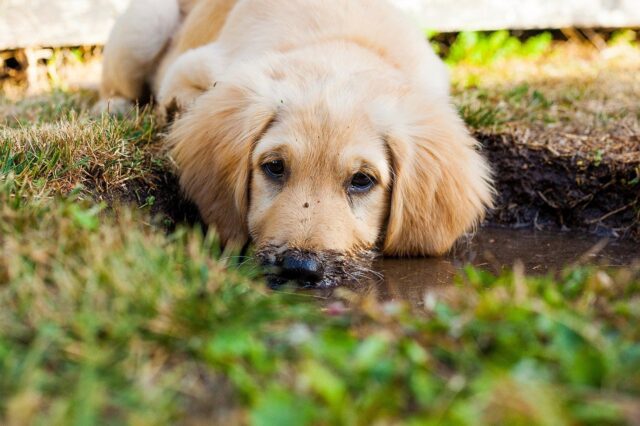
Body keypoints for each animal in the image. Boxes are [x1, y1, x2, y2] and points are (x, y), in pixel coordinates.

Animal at [96, 0, 496, 288]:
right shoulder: (190, 69)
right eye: (274, 167)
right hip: (146, 23)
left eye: (362, 180)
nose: (299, 268)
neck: (339, 45)